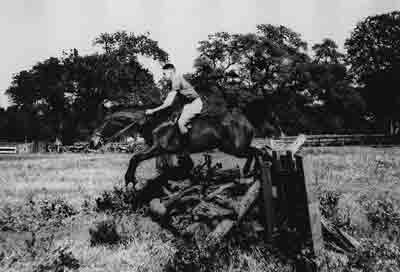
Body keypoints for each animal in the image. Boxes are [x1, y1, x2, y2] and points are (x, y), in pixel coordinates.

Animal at [90, 96, 276, 188]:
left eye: (104, 122)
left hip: (235, 148)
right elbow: (180, 166)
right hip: (234, 147)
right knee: (257, 151)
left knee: (258, 151)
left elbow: (135, 158)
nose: (93, 142)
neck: (154, 121)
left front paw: (130, 180)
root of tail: (245, 118)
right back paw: (249, 171)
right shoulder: (169, 151)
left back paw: (250, 171)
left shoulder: (157, 148)